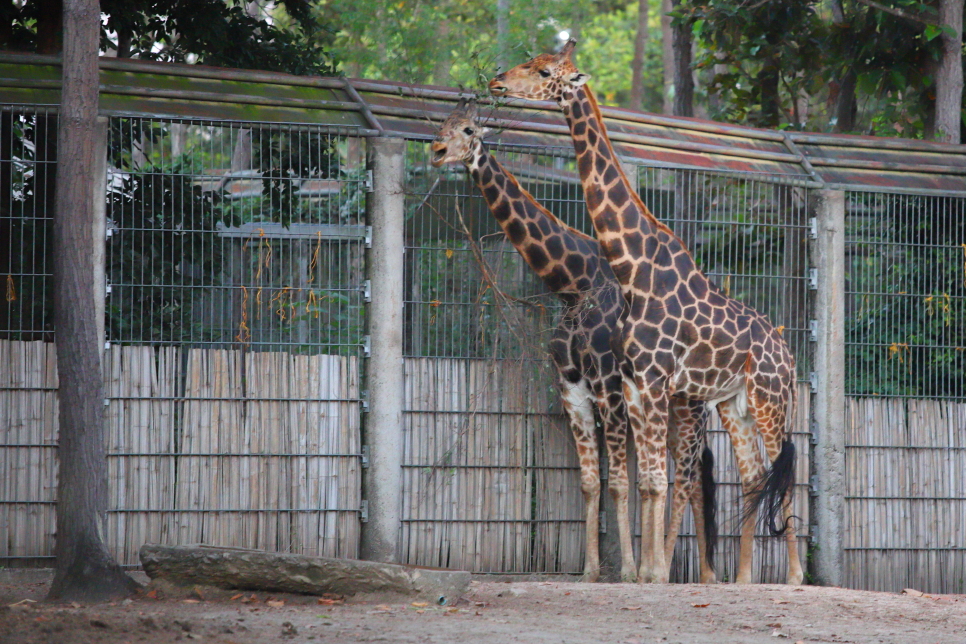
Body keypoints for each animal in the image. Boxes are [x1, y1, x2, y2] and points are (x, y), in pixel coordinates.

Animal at [432, 99, 720, 584]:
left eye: (467, 129)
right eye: (441, 125)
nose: (436, 151)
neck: (573, 284)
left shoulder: (608, 385)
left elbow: (619, 482)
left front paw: (627, 571)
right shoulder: (572, 386)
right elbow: (590, 483)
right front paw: (590, 571)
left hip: (688, 405)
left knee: (685, 475)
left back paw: (674, 569)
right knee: (693, 473)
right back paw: (704, 573)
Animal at [492, 37, 800, 588]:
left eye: (545, 71)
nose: (497, 82)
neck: (631, 267)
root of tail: (787, 354)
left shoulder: (652, 382)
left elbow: (656, 480)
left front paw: (652, 572)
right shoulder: (636, 383)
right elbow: (649, 480)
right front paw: (648, 571)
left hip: (770, 402)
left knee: (787, 471)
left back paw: (794, 577)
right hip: (735, 405)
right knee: (753, 476)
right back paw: (743, 578)